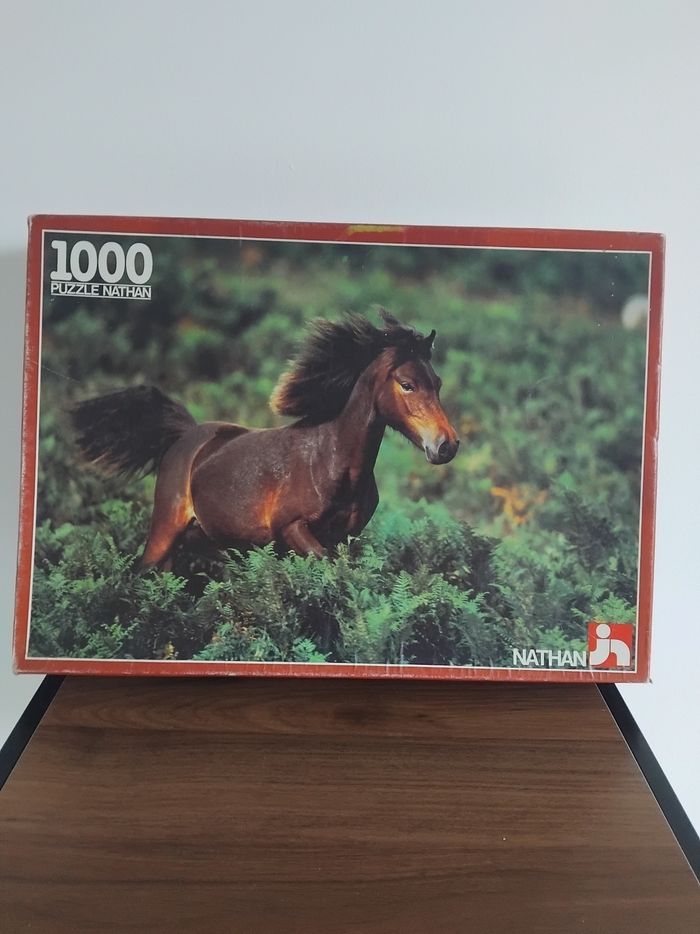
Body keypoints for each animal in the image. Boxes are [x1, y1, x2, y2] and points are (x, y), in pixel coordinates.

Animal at [72, 310, 459, 570]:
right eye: (407, 384)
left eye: (438, 383)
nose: (447, 445)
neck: (332, 460)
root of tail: (187, 435)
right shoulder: (292, 530)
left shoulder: (343, 538)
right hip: (165, 532)